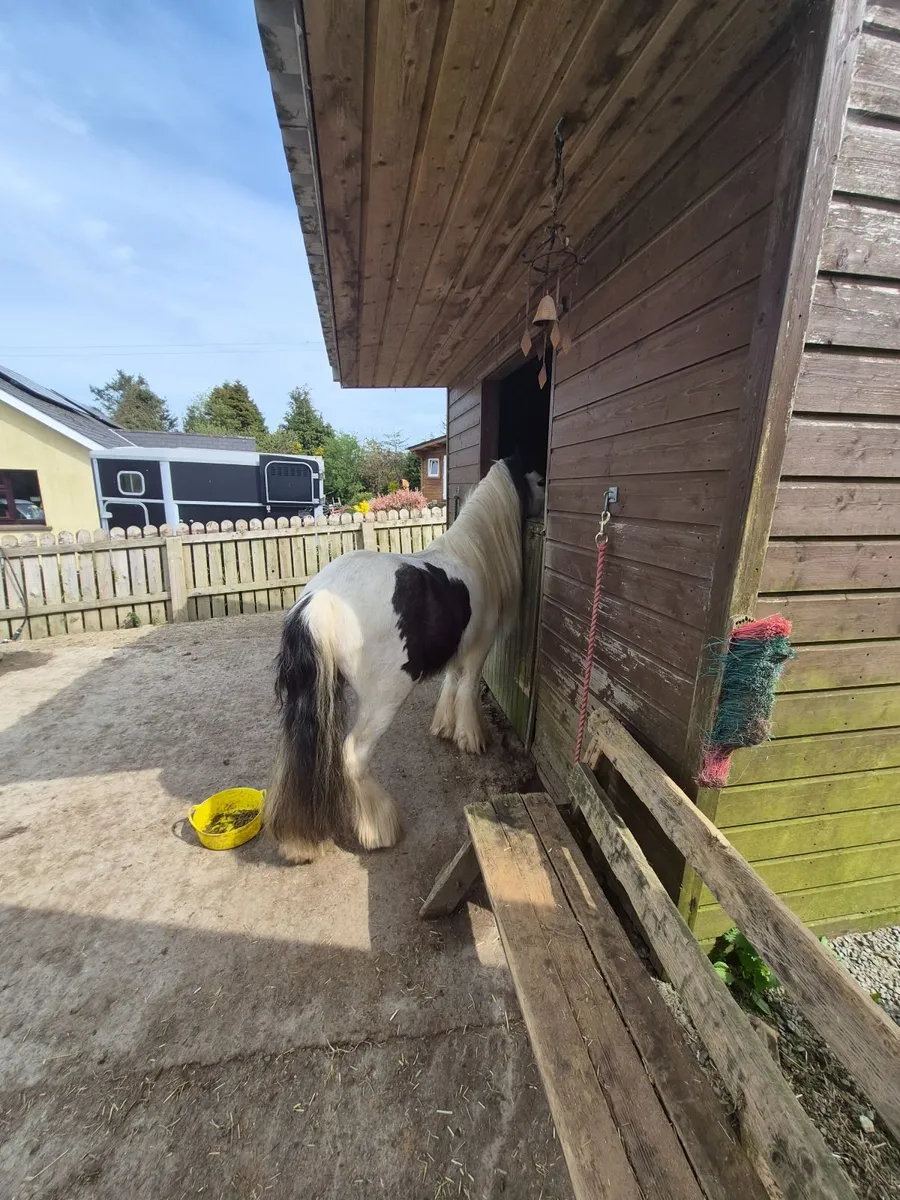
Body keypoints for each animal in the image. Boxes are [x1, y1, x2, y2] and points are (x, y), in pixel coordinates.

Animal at [263, 456, 545, 862]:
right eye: (538, 480)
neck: (468, 554)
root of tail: (319, 601)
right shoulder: (478, 646)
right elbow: (468, 687)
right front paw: (471, 737)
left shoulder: (456, 648)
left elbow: (451, 683)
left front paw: (445, 728)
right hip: (383, 701)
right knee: (353, 755)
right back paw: (379, 828)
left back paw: (298, 842)